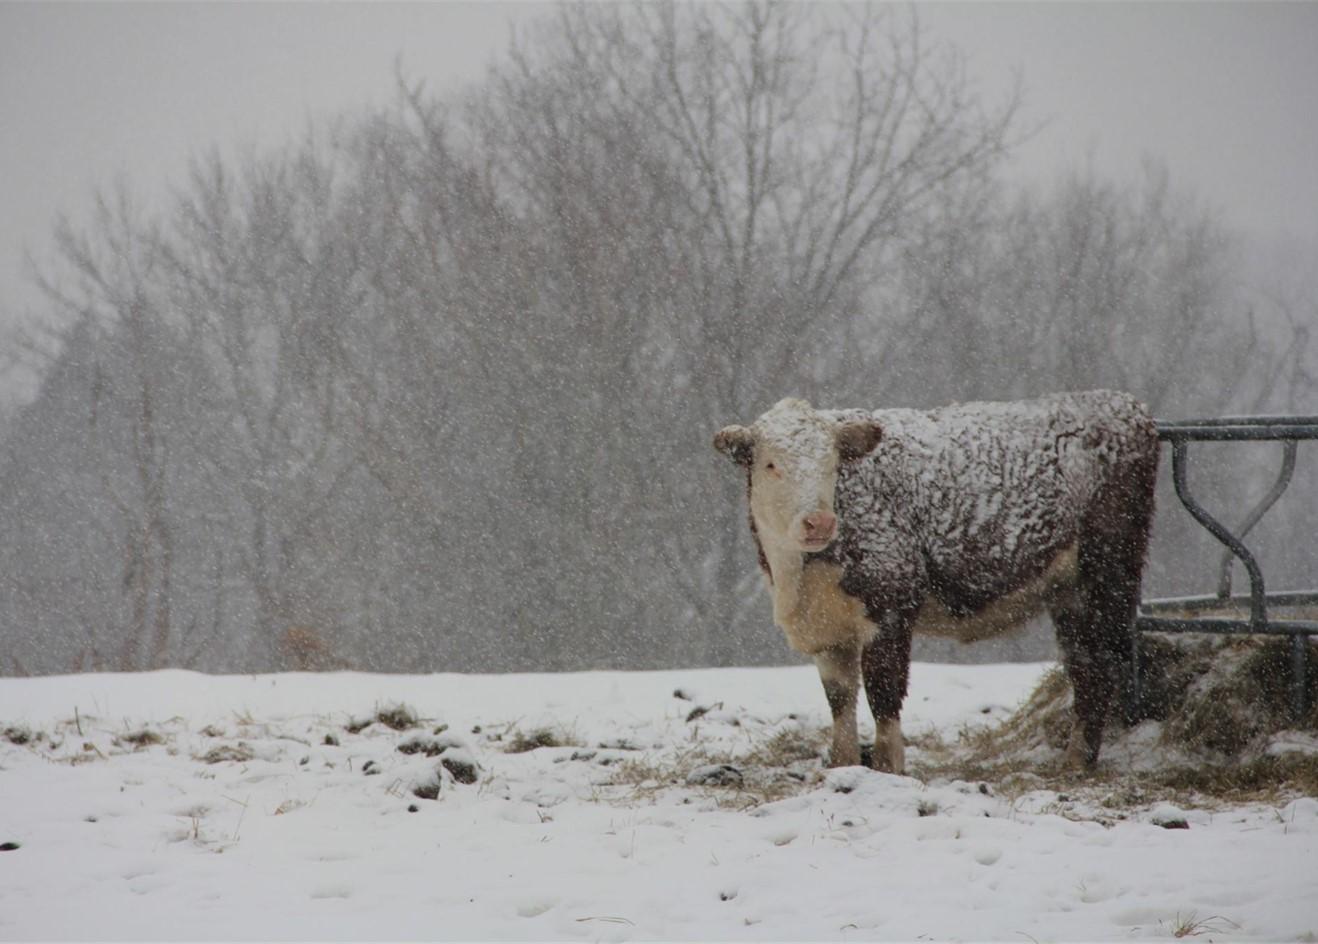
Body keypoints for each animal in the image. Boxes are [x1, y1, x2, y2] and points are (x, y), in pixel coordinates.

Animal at [716, 387, 1159, 769]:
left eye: (833, 464)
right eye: (771, 465)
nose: (819, 522)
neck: (798, 578)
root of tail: (1125, 404)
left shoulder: (890, 604)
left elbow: (884, 695)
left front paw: (888, 770)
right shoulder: (828, 630)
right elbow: (840, 703)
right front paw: (843, 767)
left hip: (1108, 571)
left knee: (1105, 660)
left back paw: (1079, 760)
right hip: (1068, 590)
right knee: (1086, 665)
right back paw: (1075, 763)